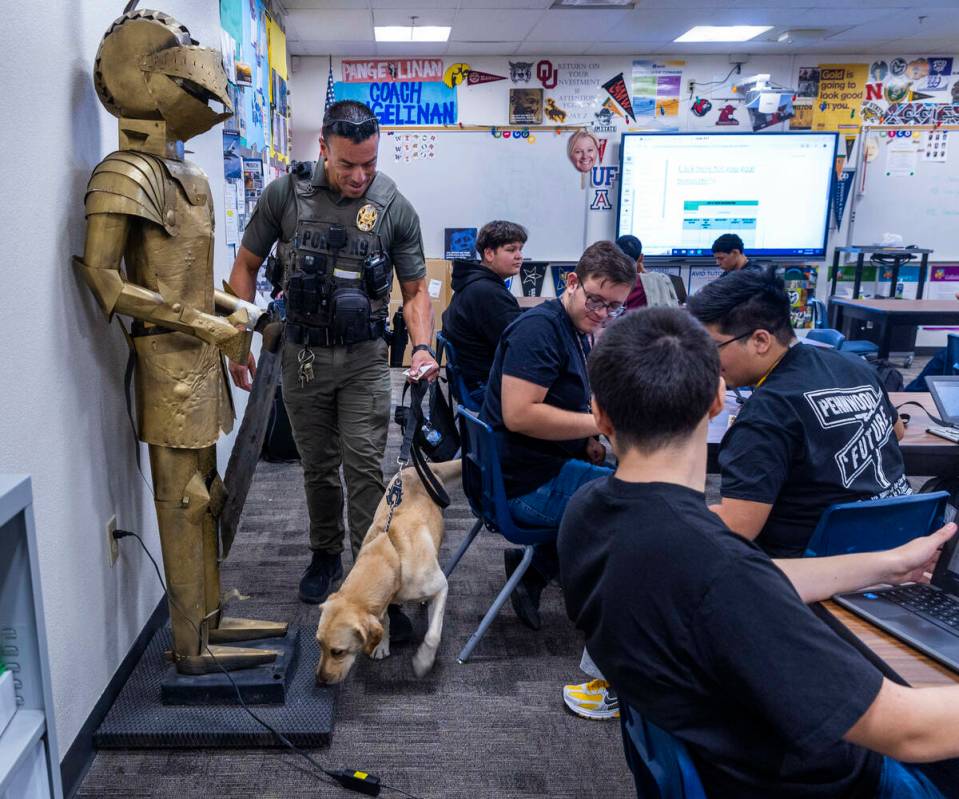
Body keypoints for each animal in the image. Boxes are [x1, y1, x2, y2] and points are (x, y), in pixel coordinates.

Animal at [316, 460, 464, 684]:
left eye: (338, 652)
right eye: (319, 644)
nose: (320, 681)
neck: (392, 555)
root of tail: (422, 467)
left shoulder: (441, 587)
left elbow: (432, 635)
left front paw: (423, 661)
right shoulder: (383, 600)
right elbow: (384, 620)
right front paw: (381, 644)